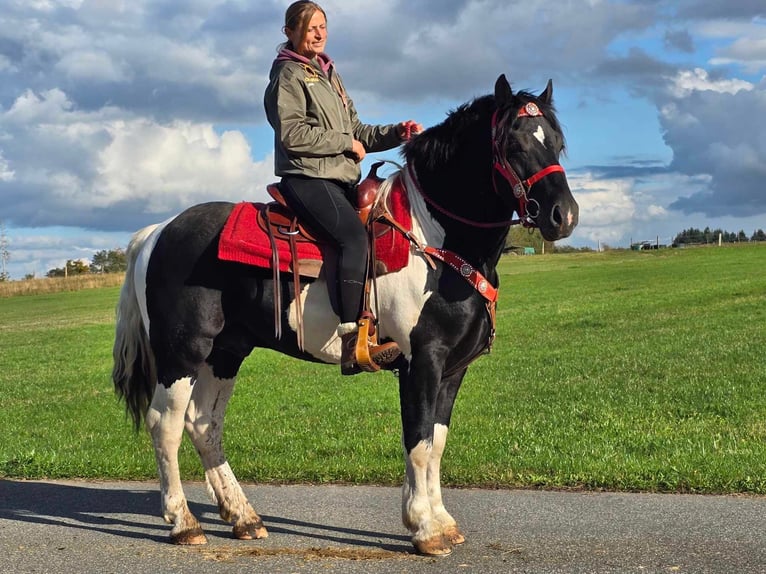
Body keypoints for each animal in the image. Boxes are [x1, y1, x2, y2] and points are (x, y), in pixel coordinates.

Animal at [112, 76, 584, 560]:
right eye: (513, 143)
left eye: (557, 142)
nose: (563, 215)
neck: (432, 239)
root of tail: (157, 232)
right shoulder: (422, 363)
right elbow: (418, 444)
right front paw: (424, 529)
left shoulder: (453, 369)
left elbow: (436, 443)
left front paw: (442, 522)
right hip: (183, 354)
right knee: (166, 426)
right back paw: (183, 522)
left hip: (225, 353)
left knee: (205, 425)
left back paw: (244, 517)